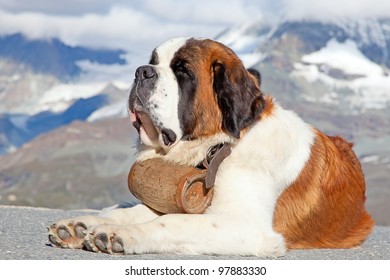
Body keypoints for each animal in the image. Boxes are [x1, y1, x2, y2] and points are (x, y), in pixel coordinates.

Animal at [48, 37, 374, 258]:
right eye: (153, 60)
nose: (142, 71)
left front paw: (121, 234)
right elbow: (137, 210)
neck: (219, 147)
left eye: (182, 71)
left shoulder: (246, 227)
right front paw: (81, 225)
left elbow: (172, 222)